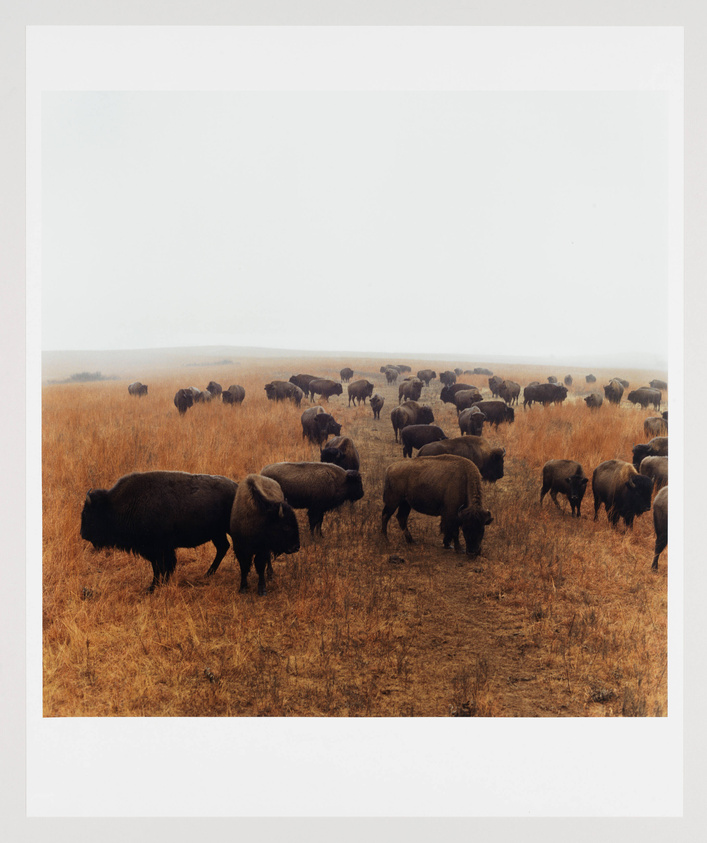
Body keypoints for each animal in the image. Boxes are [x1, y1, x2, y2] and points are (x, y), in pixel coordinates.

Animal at [80, 471, 238, 591]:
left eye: (87, 513)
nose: (83, 534)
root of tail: (236, 487)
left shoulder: (159, 549)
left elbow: (162, 567)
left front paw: (153, 587)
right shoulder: (155, 551)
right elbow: (159, 567)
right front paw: (157, 585)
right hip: (217, 533)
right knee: (223, 547)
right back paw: (208, 574)